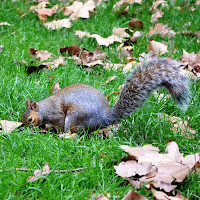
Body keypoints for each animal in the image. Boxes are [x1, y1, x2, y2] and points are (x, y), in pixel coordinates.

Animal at [21, 57, 189, 133]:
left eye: (30, 119)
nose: (24, 129)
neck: (43, 109)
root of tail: (103, 118)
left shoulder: (57, 114)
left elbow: (60, 123)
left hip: (76, 116)